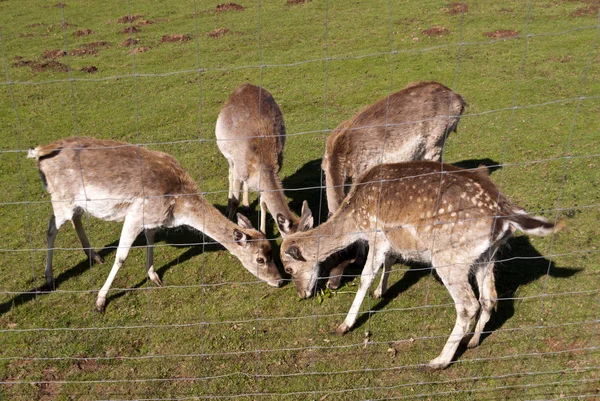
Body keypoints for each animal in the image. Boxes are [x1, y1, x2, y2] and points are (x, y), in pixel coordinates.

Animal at [27, 138, 282, 312]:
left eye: (273, 250)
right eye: (260, 259)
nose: (279, 280)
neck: (177, 206)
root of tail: (38, 154)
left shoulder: (152, 219)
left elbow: (150, 241)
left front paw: (154, 276)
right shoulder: (135, 214)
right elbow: (121, 256)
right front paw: (100, 302)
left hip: (75, 203)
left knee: (76, 218)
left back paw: (95, 256)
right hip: (61, 198)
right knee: (51, 227)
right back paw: (49, 278)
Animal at [216, 83, 312, 236]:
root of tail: (245, 85)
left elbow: (264, 203)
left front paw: (262, 231)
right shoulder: (238, 169)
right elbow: (235, 201)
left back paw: (247, 205)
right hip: (227, 153)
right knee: (229, 173)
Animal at [278, 159, 564, 368]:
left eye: (289, 269)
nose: (302, 294)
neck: (355, 219)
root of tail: (505, 213)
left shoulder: (376, 234)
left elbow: (365, 277)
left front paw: (344, 325)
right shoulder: (391, 240)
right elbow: (390, 261)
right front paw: (381, 291)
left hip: (449, 257)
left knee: (468, 304)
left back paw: (438, 361)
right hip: (486, 255)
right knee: (490, 297)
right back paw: (472, 342)